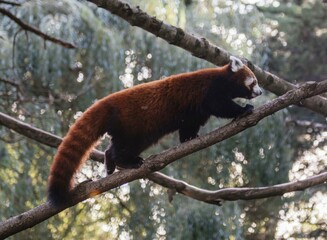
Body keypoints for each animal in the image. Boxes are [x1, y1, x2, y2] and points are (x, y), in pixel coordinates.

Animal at [47, 56, 262, 206]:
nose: (260, 92)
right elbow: (220, 106)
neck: (222, 78)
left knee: (115, 146)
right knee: (124, 147)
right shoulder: (210, 91)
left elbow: (190, 123)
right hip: (135, 125)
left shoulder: (195, 111)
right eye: (254, 82)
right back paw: (128, 161)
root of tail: (108, 102)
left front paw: (189, 138)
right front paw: (244, 110)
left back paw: (110, 162)